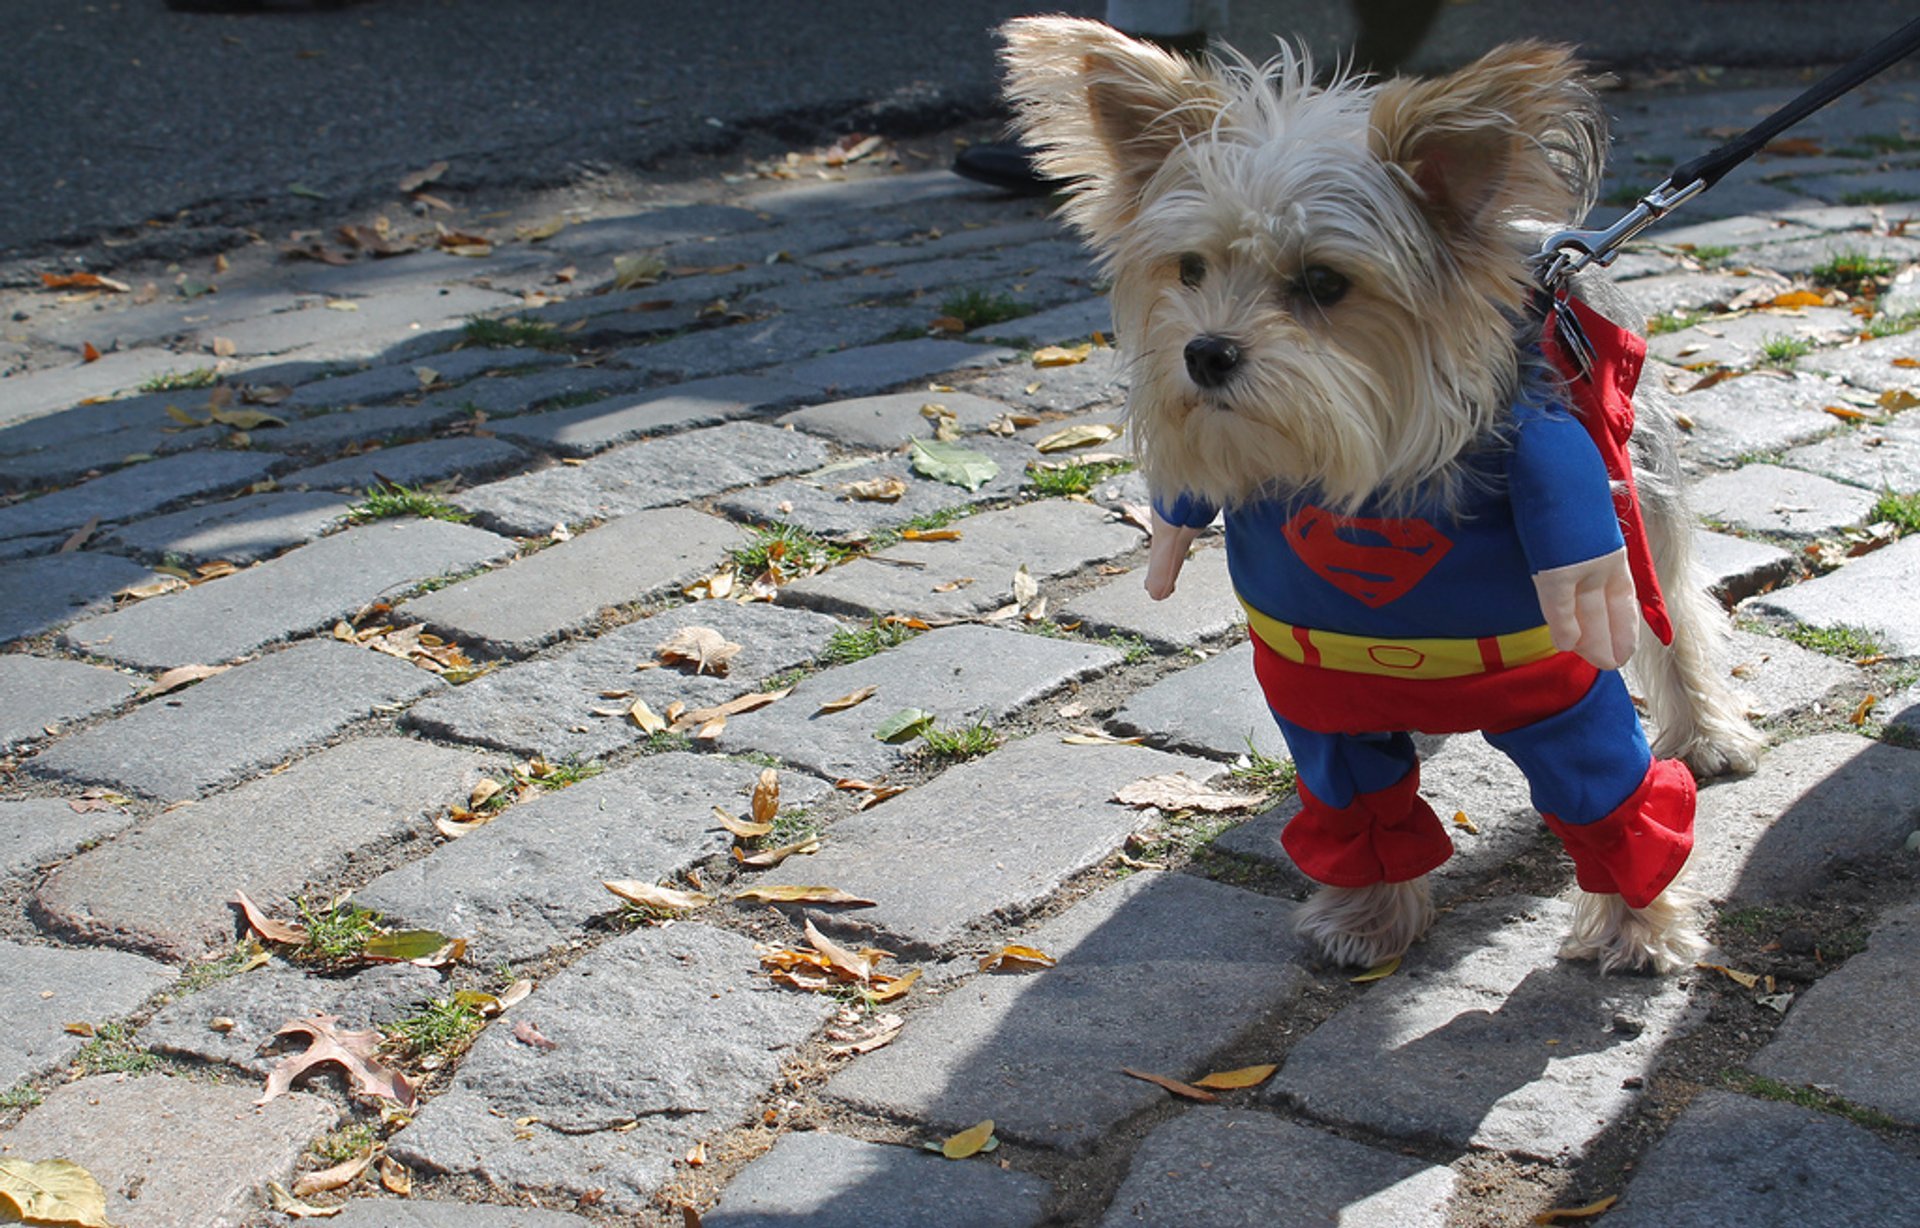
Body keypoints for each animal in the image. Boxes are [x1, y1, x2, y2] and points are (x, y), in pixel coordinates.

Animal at [1006, 16, 1766, 967]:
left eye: (1325, 283)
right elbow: (1363, 807)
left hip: (1637, 497)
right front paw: (1368, 916)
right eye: (1189, 268)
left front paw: (1639, 928)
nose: (1205, 351)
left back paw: (1708, 734)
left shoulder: (1563, 686)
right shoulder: (1322, 695)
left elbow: (1613, 805)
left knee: (1677, 618)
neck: (1364, 486)